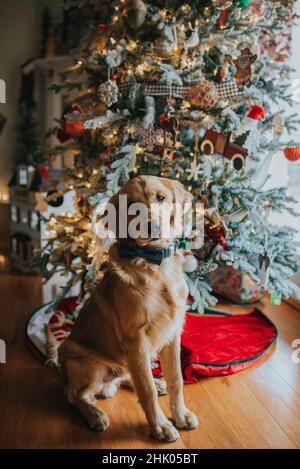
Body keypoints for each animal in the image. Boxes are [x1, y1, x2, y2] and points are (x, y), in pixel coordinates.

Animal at [58, 176, 199, 442]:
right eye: (131, 205)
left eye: (160, 198)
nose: (152, 227)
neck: (155, 266)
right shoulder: (137, 340)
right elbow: (146, 390)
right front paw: (161, 426)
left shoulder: (172, 333)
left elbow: (176, 379)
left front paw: (181, 415)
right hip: (91, 365)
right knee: (73, 393)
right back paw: (95, 414)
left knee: (128, 375)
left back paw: (157, 383)